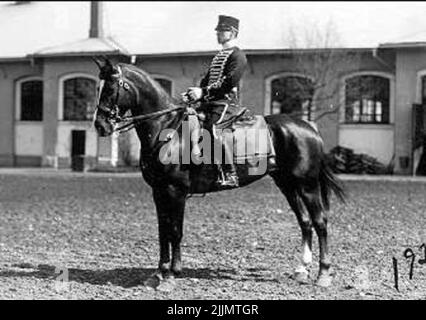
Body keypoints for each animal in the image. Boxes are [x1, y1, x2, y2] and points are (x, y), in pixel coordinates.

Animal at [93, 57, 346, 288]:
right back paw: (302, 270)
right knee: (305, 222)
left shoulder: (176, 191)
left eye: (110, 88)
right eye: (97, 88)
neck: (167, 129)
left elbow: (175, 231)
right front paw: (159, 273)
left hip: (307, 185)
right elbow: (162, 231)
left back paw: (323, 274)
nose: (100, 126)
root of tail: (309, 128)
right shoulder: (158, 192)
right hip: (288, 185)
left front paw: (172, 274)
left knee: (320, 221)